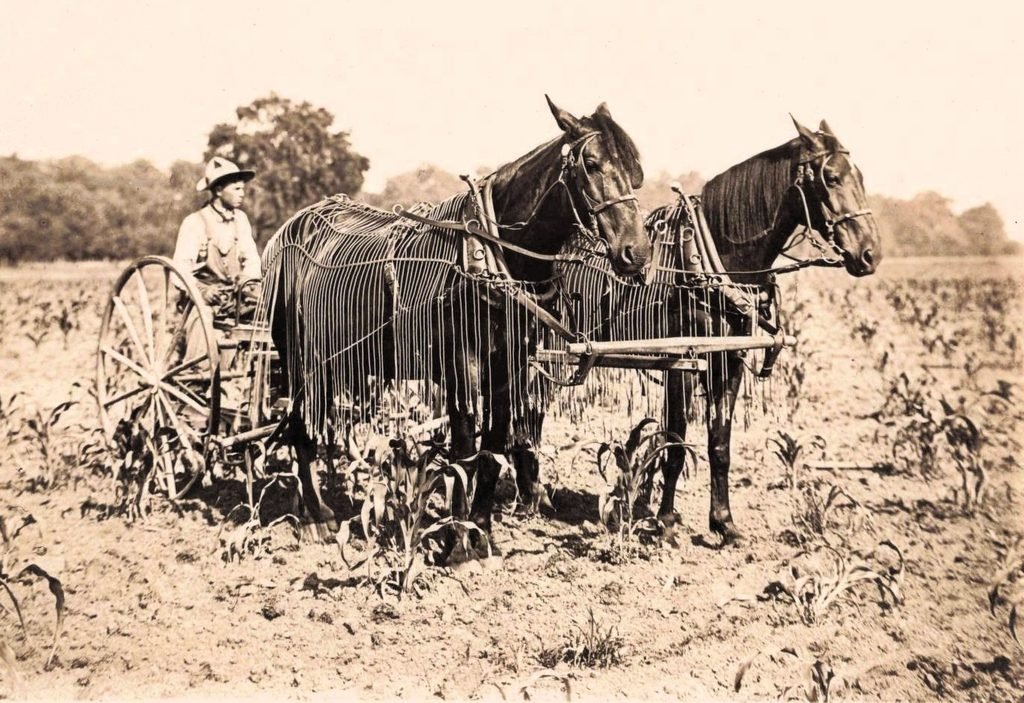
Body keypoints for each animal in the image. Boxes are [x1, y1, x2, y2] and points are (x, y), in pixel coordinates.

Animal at [258, 97, 650, 551]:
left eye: (634, 169)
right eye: (590, 163)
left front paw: (481, 530)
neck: (494, 257)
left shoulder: (510, 364)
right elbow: (464, 450)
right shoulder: (462, 364)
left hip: (342, 359)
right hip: (299, 356)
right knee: (301, 426)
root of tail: (294, 224)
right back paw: (316, 517)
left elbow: (493, 448)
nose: (637, 253)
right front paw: (458, 542)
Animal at [655, 117, 882, 543]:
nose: (870, 254)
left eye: (860, 175)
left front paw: (723, 523)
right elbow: (675, 442)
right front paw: (664, 521)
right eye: (831, 177)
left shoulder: (729, 362)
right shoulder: (682, 363)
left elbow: (720, 445)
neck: (713, 264)